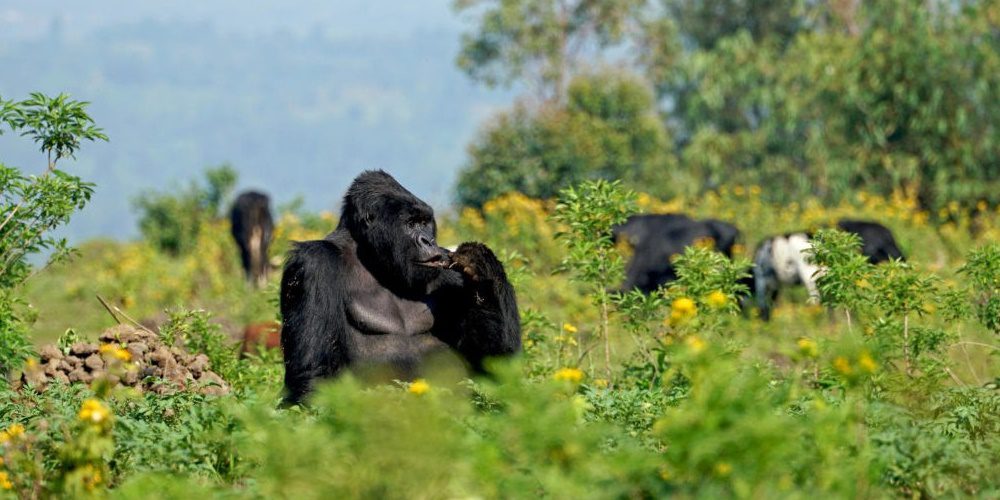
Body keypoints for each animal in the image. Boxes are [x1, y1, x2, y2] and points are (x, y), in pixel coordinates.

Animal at [278, 170, 520, 404]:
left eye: (425, 222)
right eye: (411, 223)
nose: (428, 241)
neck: (370, 257)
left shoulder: (449, 270)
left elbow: (494, 362)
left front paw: (483, 266)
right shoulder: (314, 264)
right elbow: (315, 374)